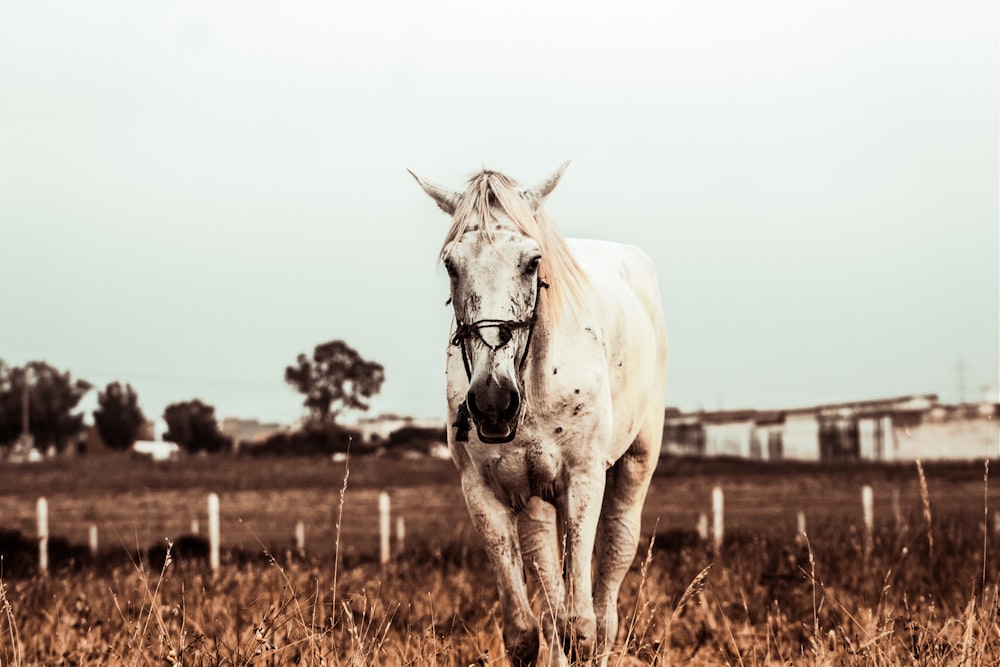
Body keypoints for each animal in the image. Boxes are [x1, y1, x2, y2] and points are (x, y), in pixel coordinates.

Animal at [410, 163, 668, 667]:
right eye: (451, 264)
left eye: (532, 262)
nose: (492, 399)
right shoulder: (487, 492)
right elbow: (526, 632)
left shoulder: (584, 480)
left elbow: (582, 628)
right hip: (535, 500)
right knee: (551, 600)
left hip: (634, 466)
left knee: (609, 584)